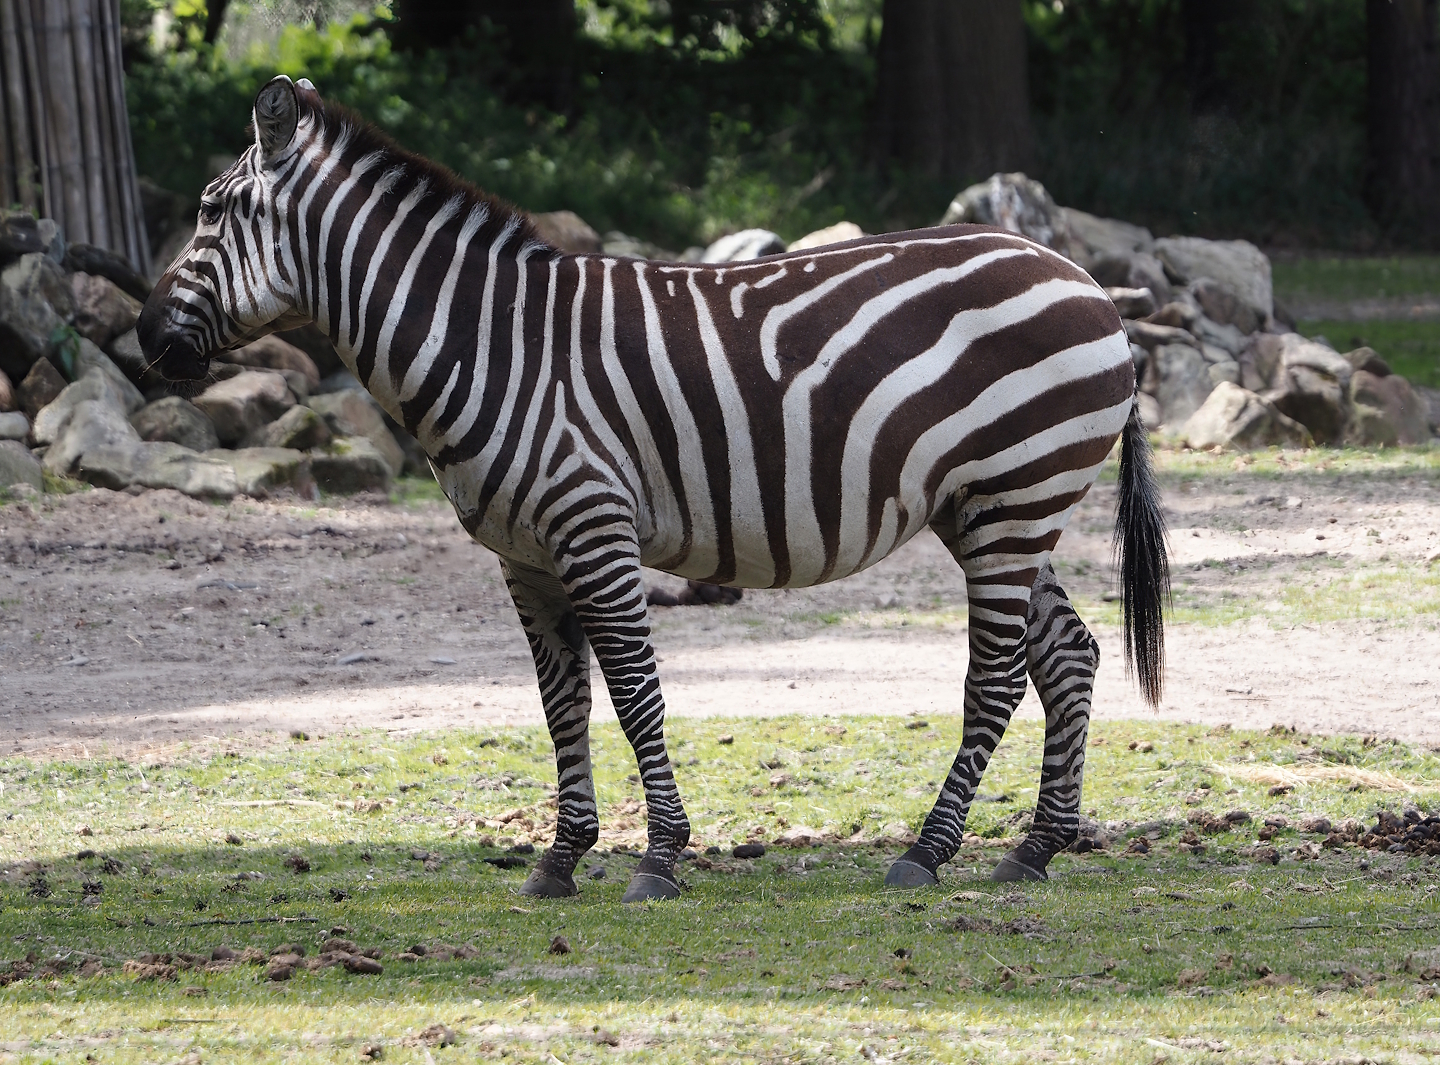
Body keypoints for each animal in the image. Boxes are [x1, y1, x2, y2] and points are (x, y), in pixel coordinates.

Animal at [138, 76, 1168, 902]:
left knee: (995, 673)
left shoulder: (592, 525)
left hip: (1014, 493)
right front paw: (561, 858)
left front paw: (660, 857)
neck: (488, 340)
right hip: (995, 507)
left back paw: (928, 850)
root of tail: (1086, 281)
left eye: (211, 210)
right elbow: (562, 704)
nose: (145, 341)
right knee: (1068, 655)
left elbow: (635, 692)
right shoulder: (524, 556)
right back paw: (1034, 848)